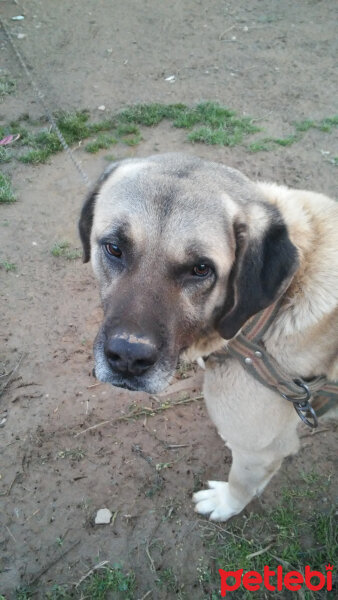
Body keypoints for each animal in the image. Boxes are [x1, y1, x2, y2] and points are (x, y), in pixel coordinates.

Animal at [80, 154, 338, 520]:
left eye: (201, 269)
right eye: (114, 248)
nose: (128, 359)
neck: (266, 315)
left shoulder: (261, 449)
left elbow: (241, 483)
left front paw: (225, 504)